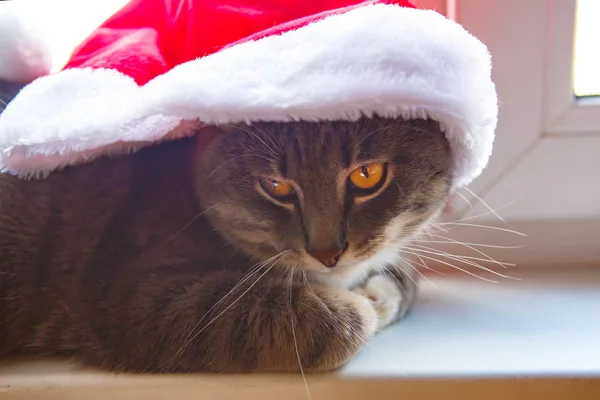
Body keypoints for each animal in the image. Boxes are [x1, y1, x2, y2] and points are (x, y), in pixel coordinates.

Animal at [0, 80, 450, 372]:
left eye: (367, 175)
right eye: (276, 186)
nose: (327, 253)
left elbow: (405, 277)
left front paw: (380, 288)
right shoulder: (136, 295)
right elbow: (316, 319)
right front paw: (358, 305)